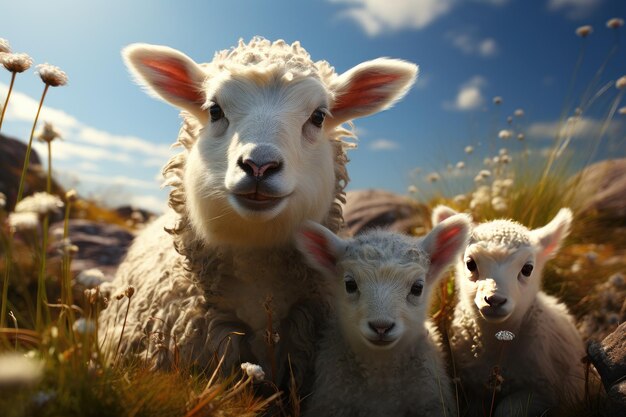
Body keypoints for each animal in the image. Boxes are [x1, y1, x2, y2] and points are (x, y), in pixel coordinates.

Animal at [428, 206, 584, 414]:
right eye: (470, 264)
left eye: (527, 268)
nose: (494, 300)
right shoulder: (474, 389)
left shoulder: (541, 392)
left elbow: (507, 409)